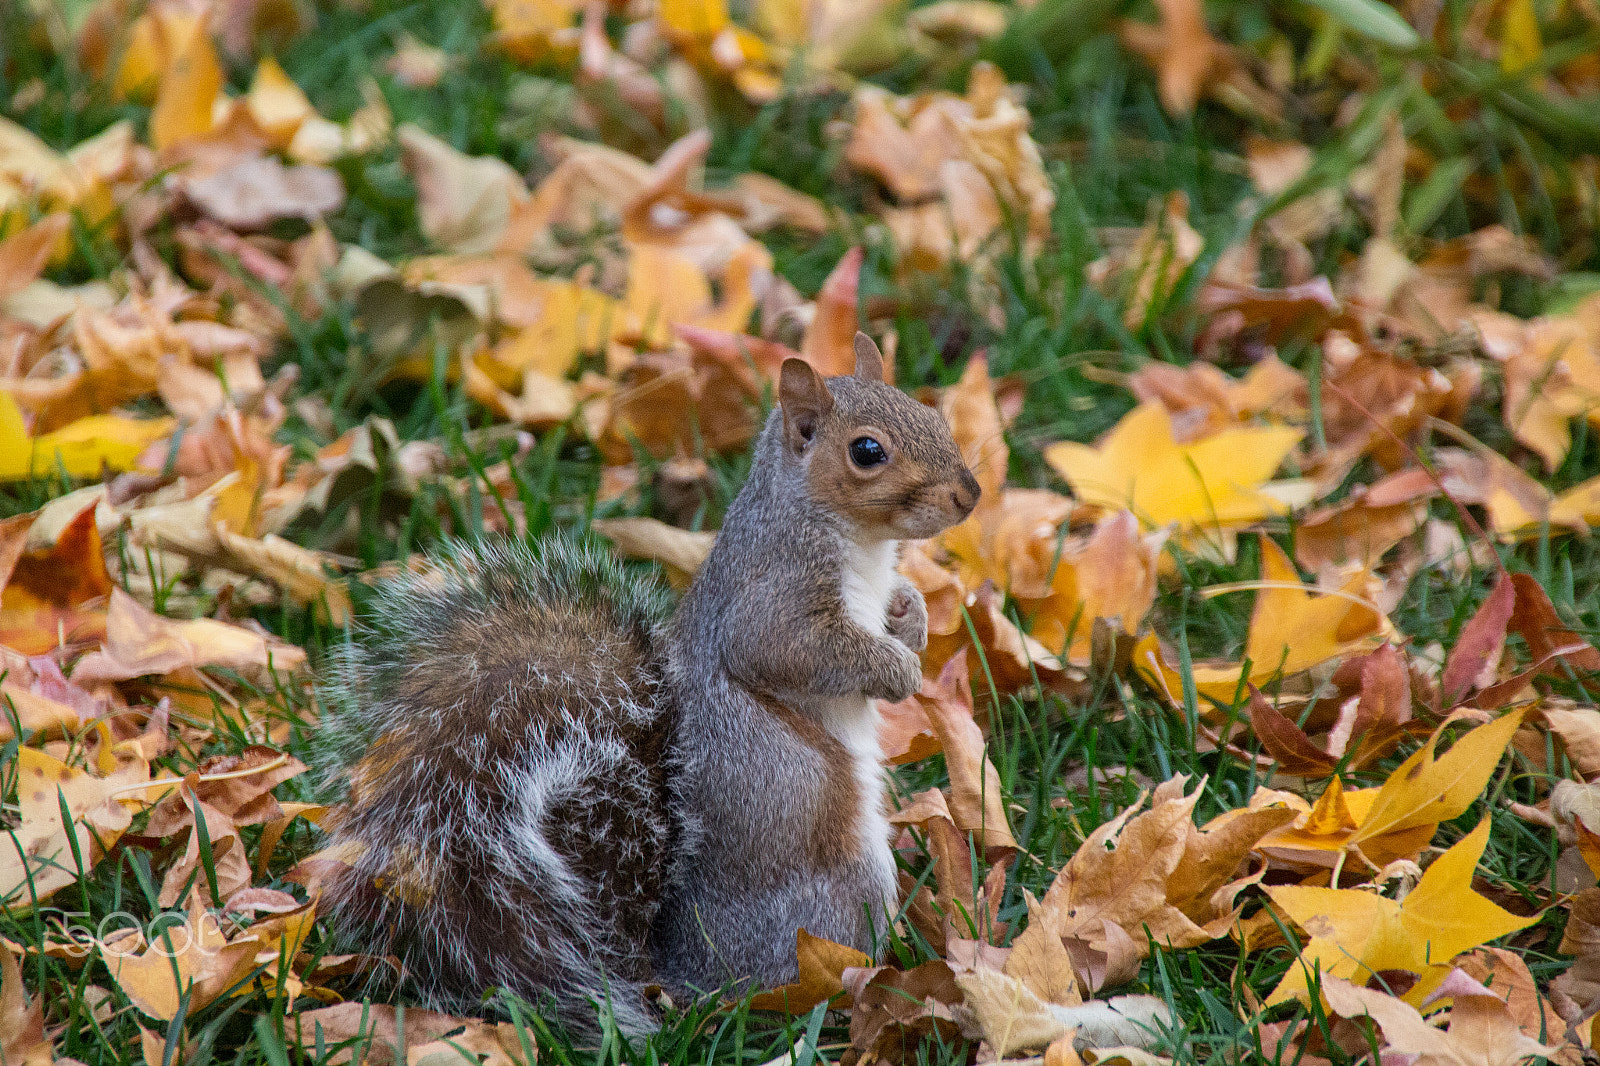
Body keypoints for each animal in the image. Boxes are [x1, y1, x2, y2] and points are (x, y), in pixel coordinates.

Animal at [314, 333, 982, 1035]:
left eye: (933, 416)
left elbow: (897, 605)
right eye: (867, 452)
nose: (969, 495)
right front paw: (899, 670)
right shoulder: (773, 598)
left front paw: (912, 617)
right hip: (833, 872)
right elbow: (794, 651)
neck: (854, 539)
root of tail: (679, 977)